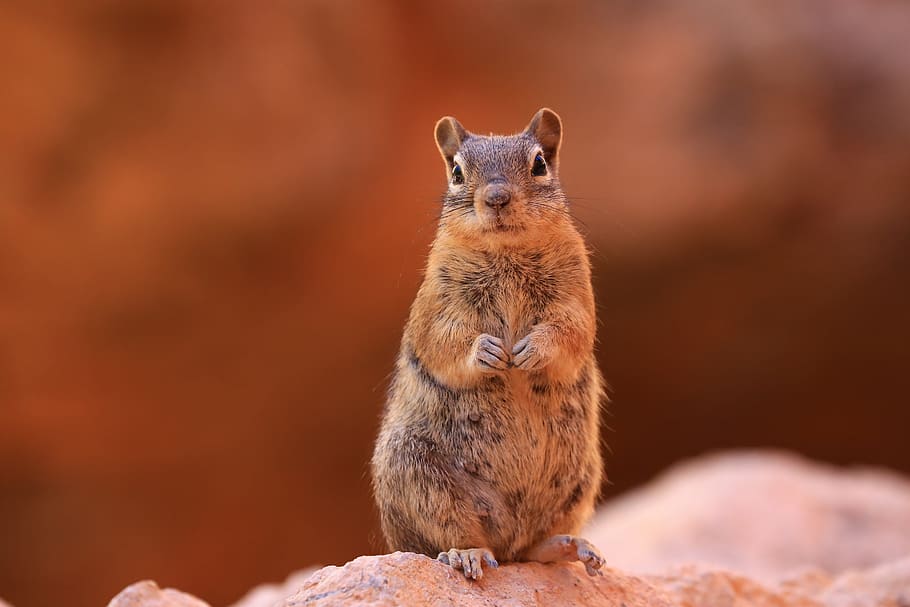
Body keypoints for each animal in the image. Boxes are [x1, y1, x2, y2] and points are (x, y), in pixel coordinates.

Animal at [371, 108, 605, 580]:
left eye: (539, 164)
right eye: (457, 172)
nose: (496, 197)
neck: (506, 251)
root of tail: (507, 543)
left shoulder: (576, 295)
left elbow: (570, 331)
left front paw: (533, 349)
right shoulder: (436, 303)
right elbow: (442, 339)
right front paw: (486, 351)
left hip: (579, 478)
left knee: (532, 547)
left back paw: (568, 546)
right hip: (417, 474)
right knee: (456, 533)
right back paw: (469, 554)